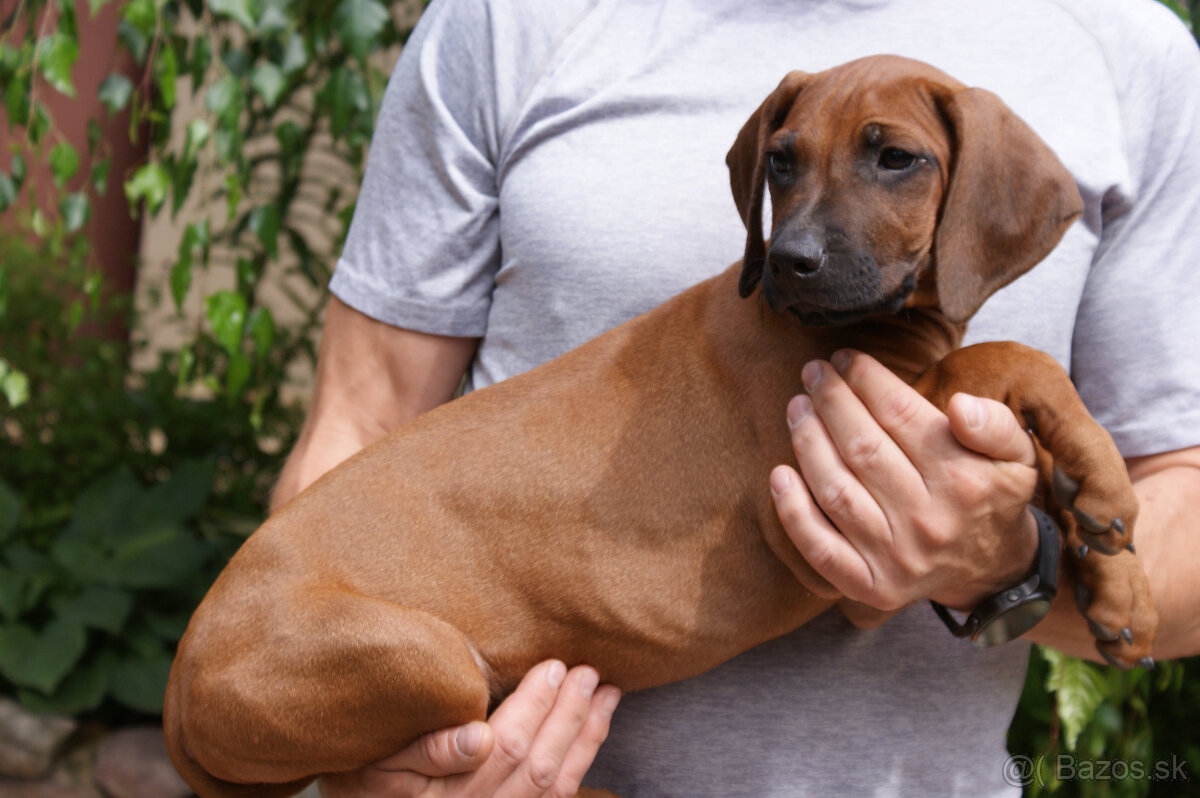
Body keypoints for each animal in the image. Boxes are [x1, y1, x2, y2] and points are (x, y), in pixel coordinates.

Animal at [159, 57, 1152, 796]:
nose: (791, 264)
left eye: (896, 158)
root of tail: (174, 690)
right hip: (425, 656)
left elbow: (1038, 463)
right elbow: (1018, 360)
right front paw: (1104, 476)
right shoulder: (834, 495)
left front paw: (1119, 583)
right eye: (782, 159)